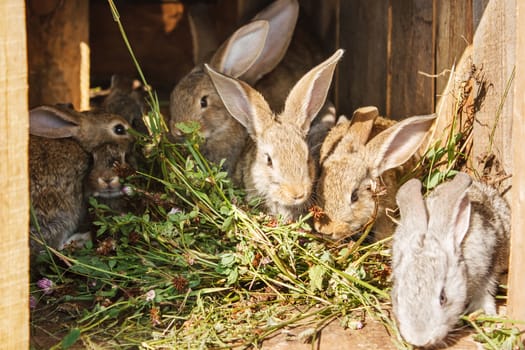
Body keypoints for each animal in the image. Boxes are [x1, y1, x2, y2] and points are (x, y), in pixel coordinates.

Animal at [390, 173, 510, 348]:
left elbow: (486, 290)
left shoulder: (489, 261)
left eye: (443, 298)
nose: (420, 340)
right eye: (398, 297)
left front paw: (484, 313)